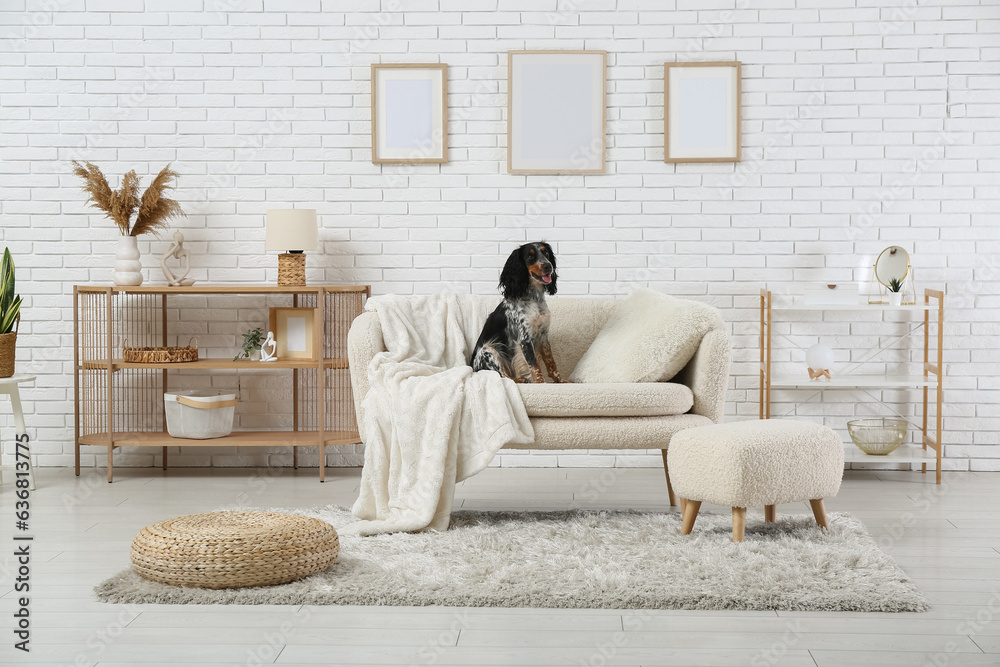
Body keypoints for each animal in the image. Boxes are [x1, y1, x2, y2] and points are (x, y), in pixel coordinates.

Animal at [468, 243, 564, 384]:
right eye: (530, 256)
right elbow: (534, 365)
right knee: (504, 377)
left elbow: (551, 362)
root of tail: (473, 369)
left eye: (546, 253)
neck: (534, 299)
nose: (548, 266)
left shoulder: (543, 336)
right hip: (489, 349)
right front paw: (541, 383)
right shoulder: (525, 338)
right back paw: (521, 379)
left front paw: (562, 381)